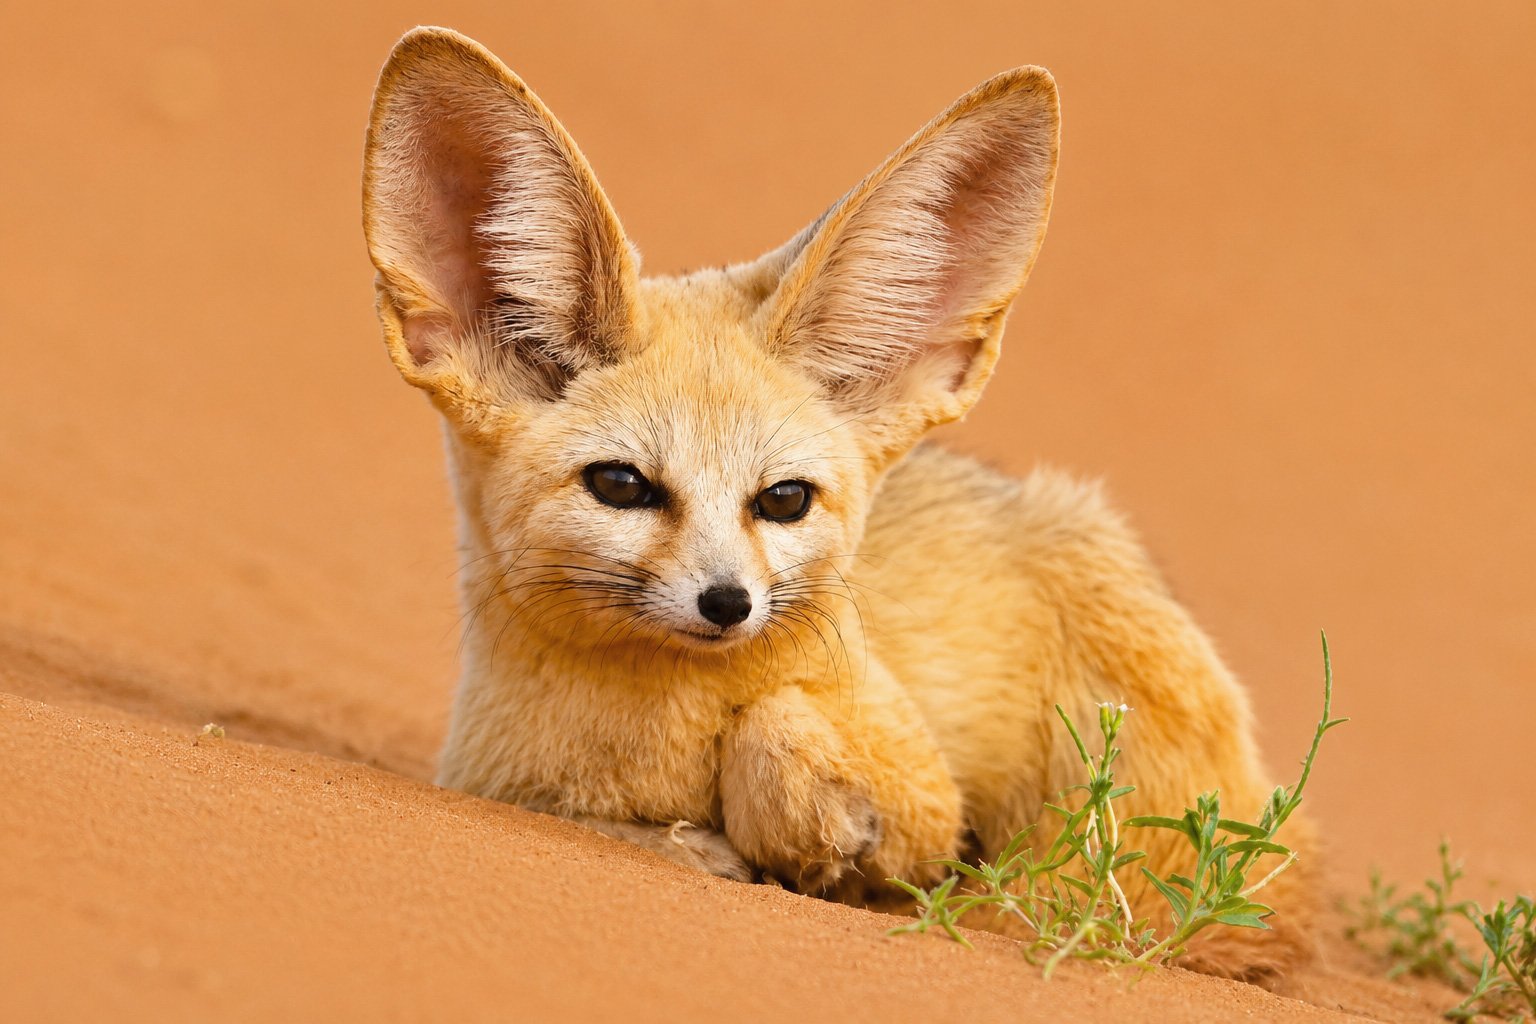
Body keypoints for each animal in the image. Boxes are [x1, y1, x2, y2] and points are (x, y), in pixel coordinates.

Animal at [361, 26, 1317, 983]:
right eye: (621, 486)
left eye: (784, 499)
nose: (728, 603)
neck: (655, 733)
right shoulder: (490, 785)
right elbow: (624, 825)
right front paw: (704, 843)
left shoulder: (927, 793)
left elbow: (781, 726)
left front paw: (820, 850)